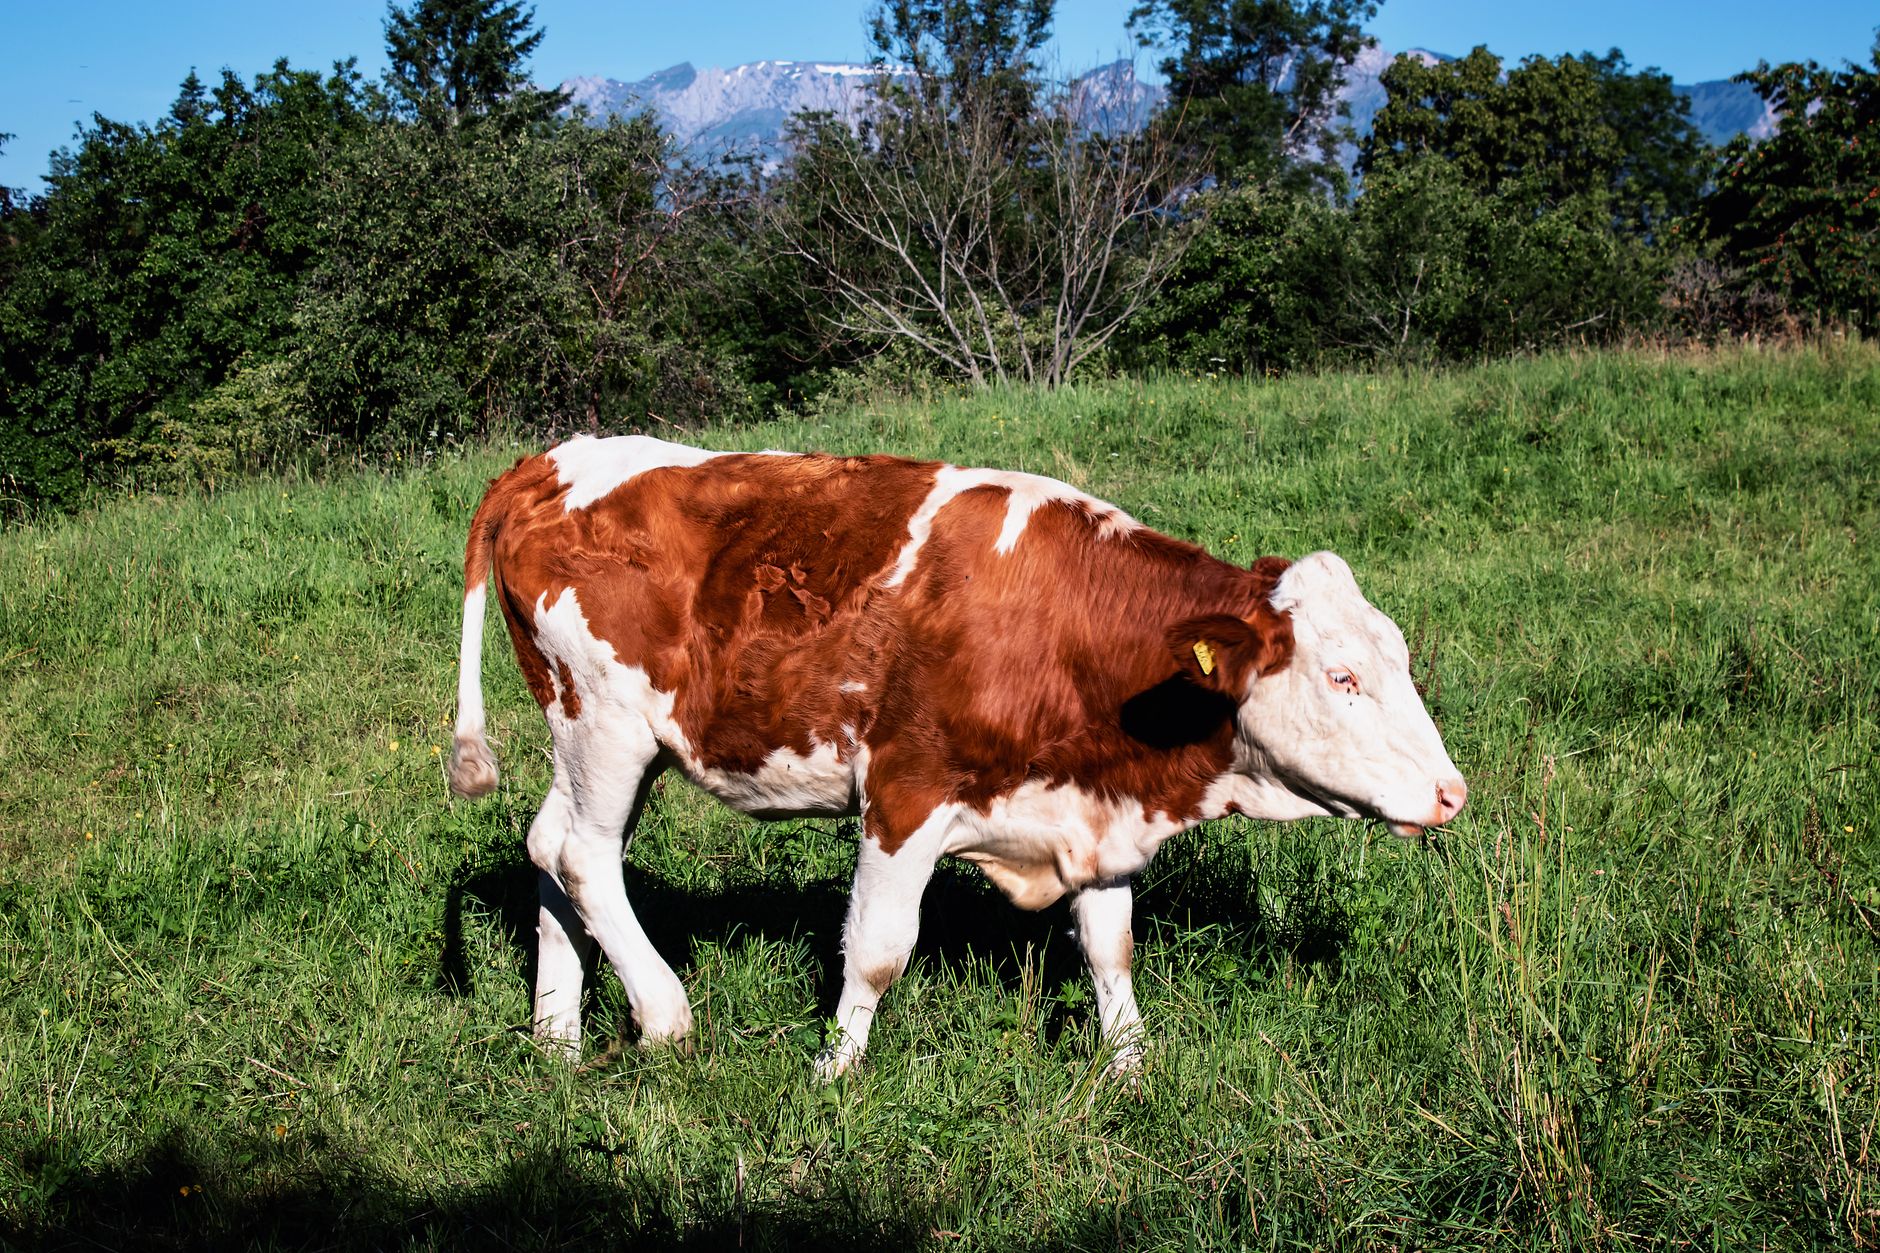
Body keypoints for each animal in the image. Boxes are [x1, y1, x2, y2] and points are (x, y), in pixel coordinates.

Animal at [448, 435, 1466, 1078]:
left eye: (1399, 656)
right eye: (1341, 677)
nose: (1452, 792)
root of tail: (550, 459)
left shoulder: (1092, 808)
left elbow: (1111, 946)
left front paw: (1130, 1069)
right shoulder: (905, 790)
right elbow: (877, 952)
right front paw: (834, 1073)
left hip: (606, 739)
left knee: (551, 847)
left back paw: (557, 1035)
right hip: (604, 721)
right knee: (583, 854)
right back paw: (664, 1017)